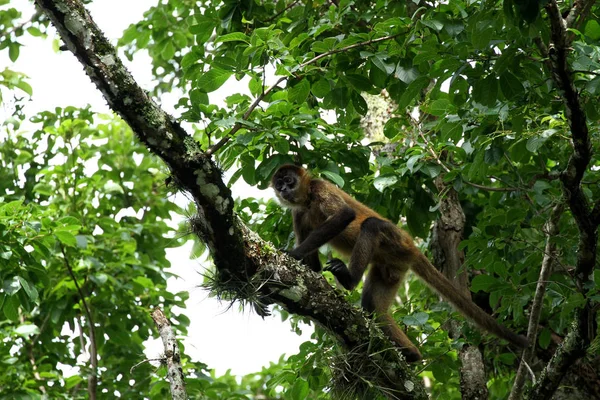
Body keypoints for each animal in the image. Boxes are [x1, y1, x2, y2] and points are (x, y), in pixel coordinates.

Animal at [270, 164, 528, 360]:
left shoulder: (320, 187)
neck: (307, 201)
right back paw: (411, 355)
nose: (283, 190)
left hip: (395, 240)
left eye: (289, 181)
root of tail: (412, 247)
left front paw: (293, 253)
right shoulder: (297, 213)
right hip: (391, 267)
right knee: (373, 308)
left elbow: (345, 215)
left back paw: (349, 279)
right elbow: (312, 268)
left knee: (372, 225)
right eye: (279, 185)